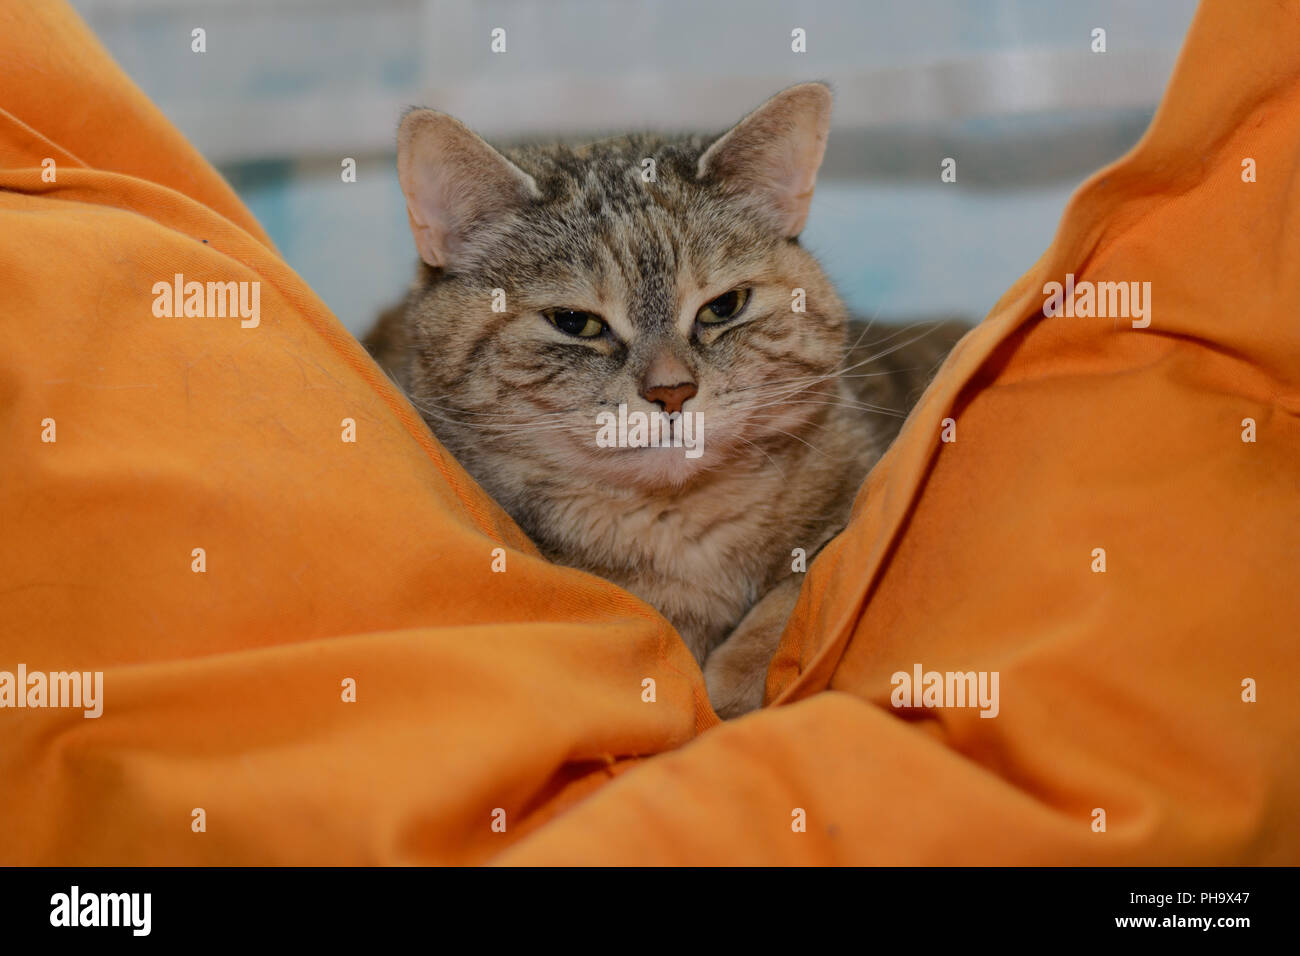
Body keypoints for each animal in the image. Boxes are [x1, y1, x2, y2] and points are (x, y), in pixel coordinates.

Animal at [364, 83, 967, 717]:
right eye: (575, 322)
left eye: (724, 307)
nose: (672, 391)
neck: (679, 528)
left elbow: (808, 579)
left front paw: (739, 680)